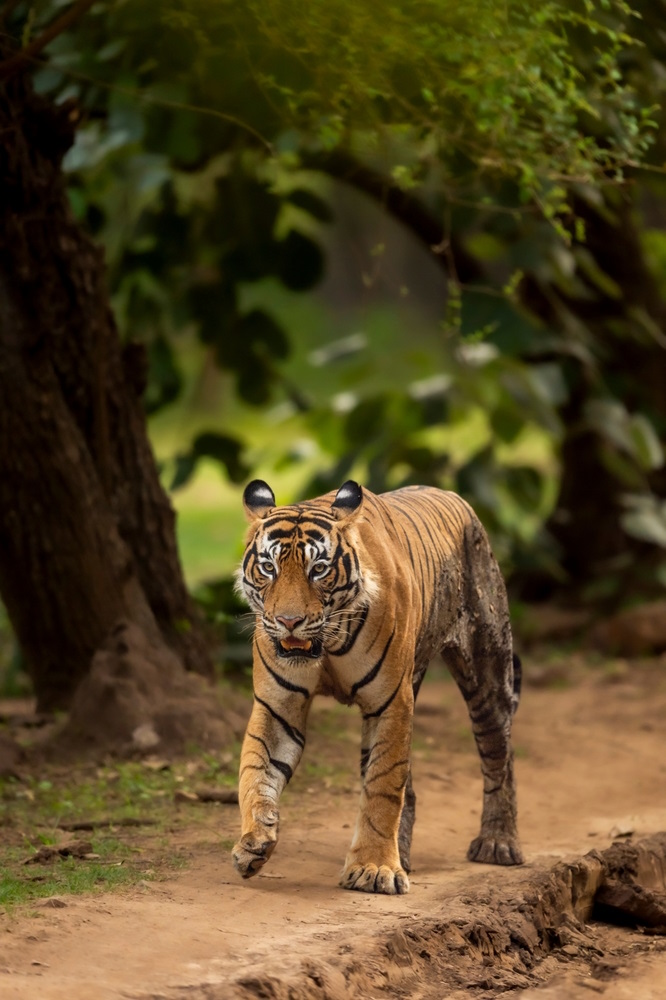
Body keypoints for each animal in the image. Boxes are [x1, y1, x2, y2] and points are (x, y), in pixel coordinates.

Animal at [232, 479, 523, 895]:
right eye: (269, 568)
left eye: (318, 569)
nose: (289, 621)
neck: (328, 642)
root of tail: (452, 495)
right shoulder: (277, 706)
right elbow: (255, 773)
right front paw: (254, 843)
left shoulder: (391, 703)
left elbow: (383, 787)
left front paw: (374, 869)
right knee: (411, 785)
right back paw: (405, 854)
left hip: (487, 675)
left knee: (500, 754)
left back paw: (498, 842)